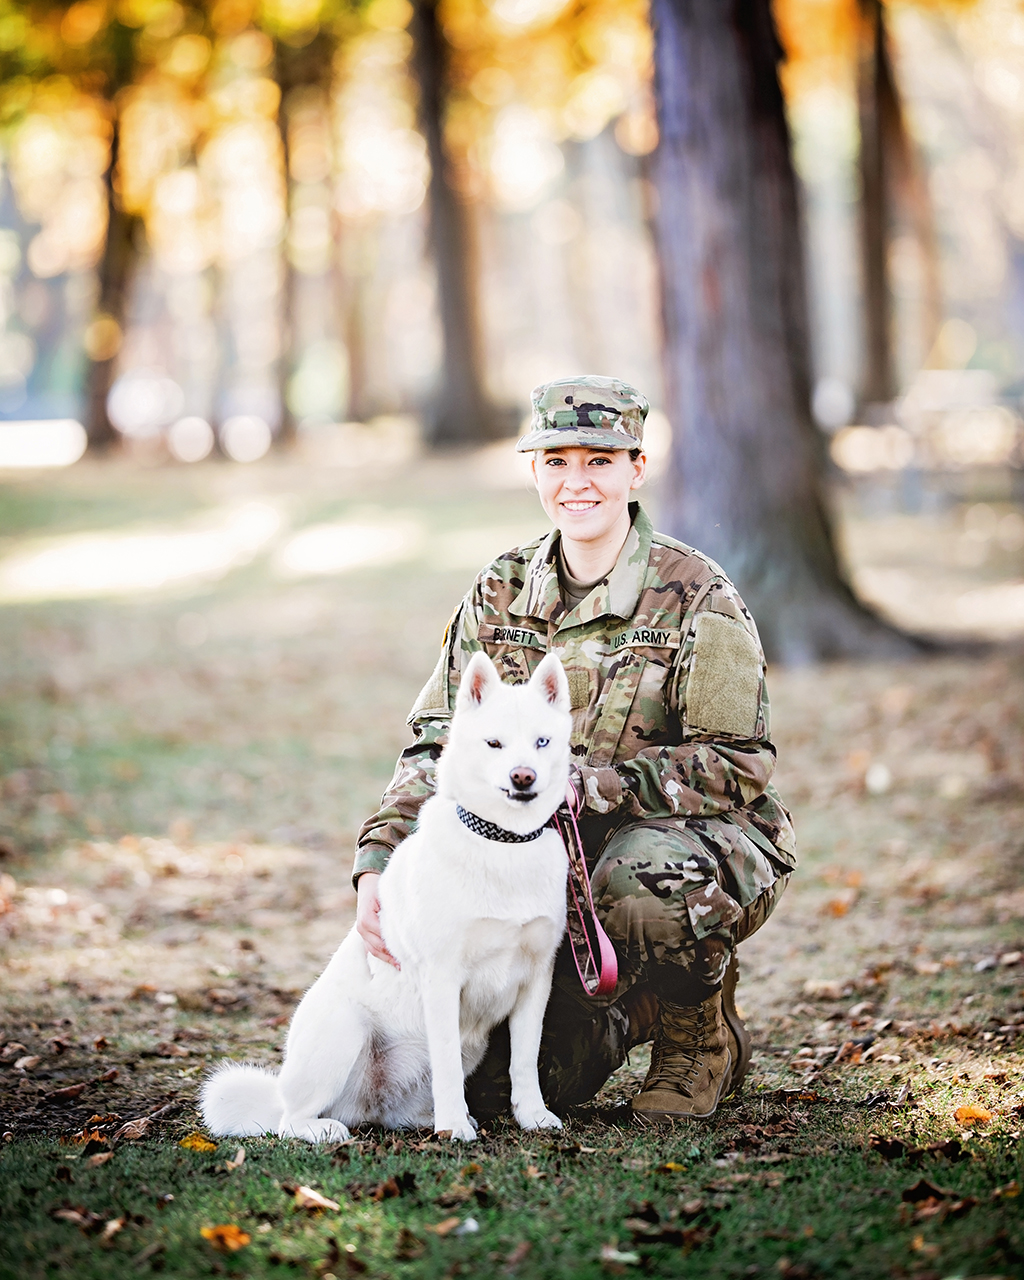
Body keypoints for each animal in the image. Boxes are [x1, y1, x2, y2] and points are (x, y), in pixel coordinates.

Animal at [199, 655, 568, 1146]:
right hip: (343, 1032)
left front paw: (533, 1116)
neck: (503, 842)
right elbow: (448, 1067)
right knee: (288, 1123)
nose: (523, 777)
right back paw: (330, 1129)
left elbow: (524, 1063)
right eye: (494, 743)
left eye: (542, 742)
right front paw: (455, 1129)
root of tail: (368, 1107)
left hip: (465, 1050)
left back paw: (428, 1119)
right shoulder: (442, 980)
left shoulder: (535, 981)